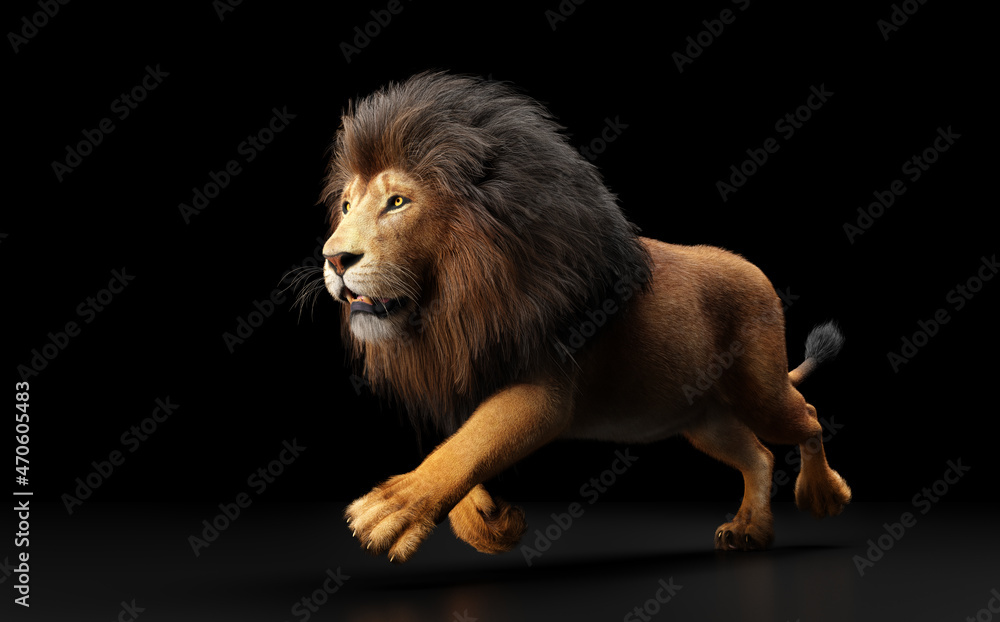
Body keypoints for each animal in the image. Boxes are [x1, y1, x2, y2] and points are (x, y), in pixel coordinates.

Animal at [316, 72, 851, 562]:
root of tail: (757, 272)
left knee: (807, 416)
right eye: (346, 205)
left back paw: (823, 495)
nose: (334, 259)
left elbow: (472, 443)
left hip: (759, 390)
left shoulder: (546, 390)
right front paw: (490, 523)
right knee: (757, 455)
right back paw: (748, 530)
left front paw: (394, 508)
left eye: (397, 202)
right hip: (704, 417)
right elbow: (463, 443)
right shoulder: (470, 378)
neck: (457, 302)